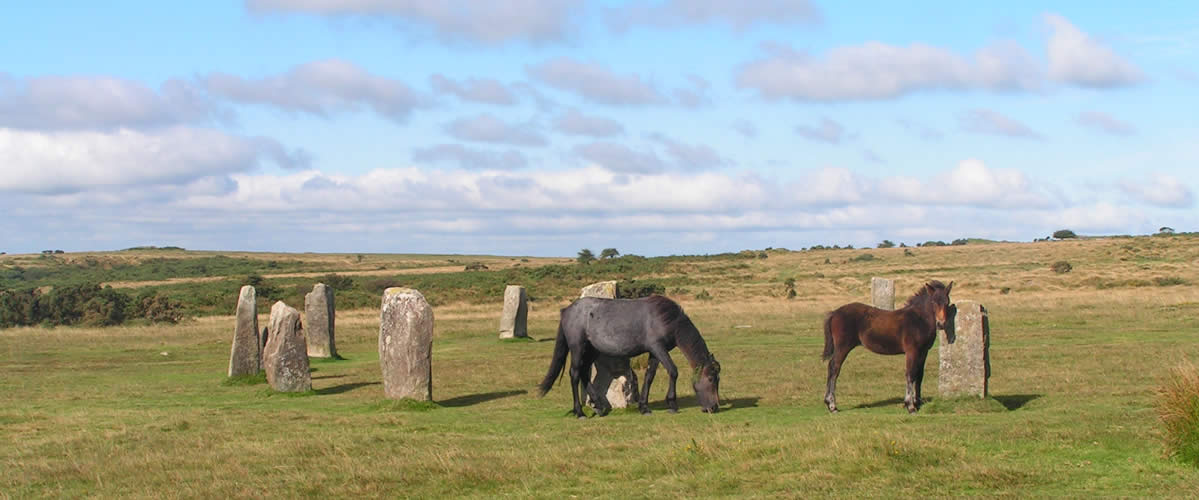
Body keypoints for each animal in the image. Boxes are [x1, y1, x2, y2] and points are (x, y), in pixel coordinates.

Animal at [537, 293, 719, 414]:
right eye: (711, 379)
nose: (714, 407)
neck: (667, 319)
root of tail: (567, 310)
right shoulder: (658, 348)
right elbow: (673, 371)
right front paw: (672, 404)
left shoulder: (655, 352)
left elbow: (649, 376)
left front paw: (644, 407)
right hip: (577, 348)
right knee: (574, 374)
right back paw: (579, 412)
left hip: (591, 350)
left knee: (583, 373)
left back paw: (600, 407)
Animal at [820, 280, 949, 412]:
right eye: (933, 302)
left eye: (947, 302)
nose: (941, 324)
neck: (919, 320)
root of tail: (835, 313)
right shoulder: (912, 351)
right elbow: (910, 374)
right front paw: (910, 405)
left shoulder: (923, 352)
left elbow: (919, 375)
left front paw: (917, 402)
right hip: (842, 347)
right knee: (834, 368)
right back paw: (832, 405)